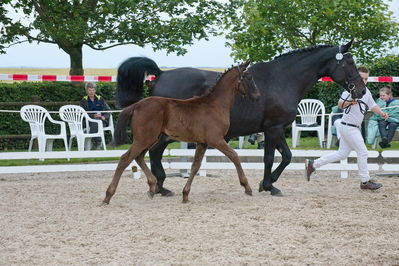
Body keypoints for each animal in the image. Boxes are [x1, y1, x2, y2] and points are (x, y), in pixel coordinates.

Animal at [104, 60, 260, 204]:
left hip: (149, 139)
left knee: (139, 157)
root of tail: (136, 105)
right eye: (249, 77)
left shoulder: (202, 143)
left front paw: (185, 194)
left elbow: (195, 166)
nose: (257, 96)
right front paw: (247, 187)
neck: (215, 105)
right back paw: (108, 195)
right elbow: (234, 156)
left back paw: (152, 187)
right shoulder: (216, 140)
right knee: (125, 158)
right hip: (144, 138)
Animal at [115, 40, 366, 196]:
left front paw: (266, 184)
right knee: (152, 153)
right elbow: (276, 158)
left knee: (152, 154)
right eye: (349, 63)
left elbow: (280, 157)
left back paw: (161, 186)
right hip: (165, 134)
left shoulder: (272, 129)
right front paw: (269, 185)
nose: (361, 91)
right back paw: (160, 185)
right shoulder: (273, 128)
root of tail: (161, 75)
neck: (282, 79)